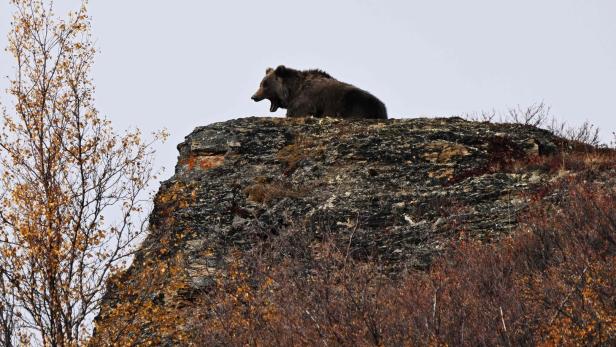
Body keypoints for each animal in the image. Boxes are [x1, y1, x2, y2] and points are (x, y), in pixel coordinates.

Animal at [249, 65, 384, 119]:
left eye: (265, 85)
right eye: (261, 84)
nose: (254, 96)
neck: (293, 91)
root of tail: (382, 107)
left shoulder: (305, 101)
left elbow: (296, 113)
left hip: (352, 102)